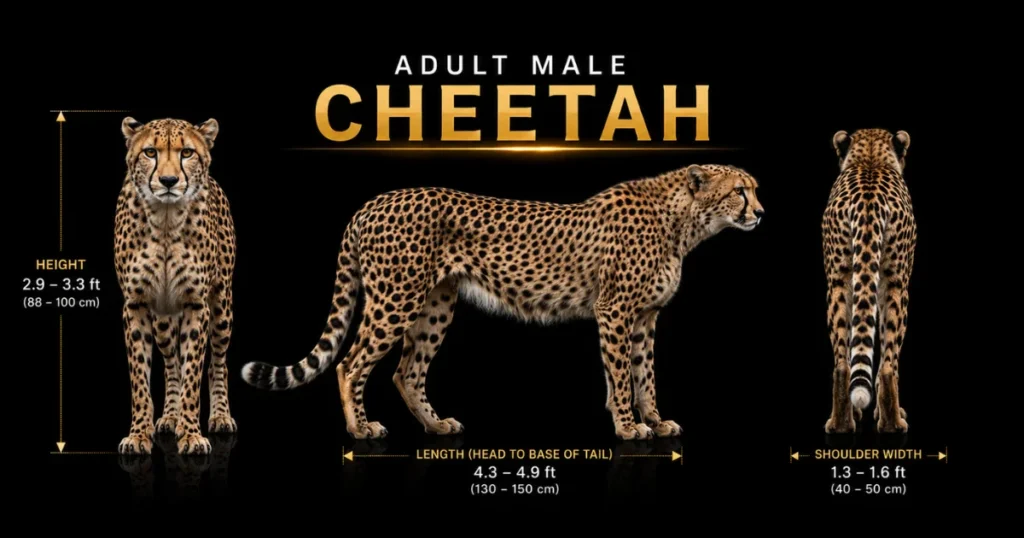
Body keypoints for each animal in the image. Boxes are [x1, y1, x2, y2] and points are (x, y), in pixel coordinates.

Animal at [114, 117, 238, 454]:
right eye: (150, 152)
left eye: (186, 152)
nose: (169, 181)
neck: (166, 220)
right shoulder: (136, 304)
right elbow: (141, 377)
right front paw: (139, 434)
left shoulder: (197, 304)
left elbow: (194, 371)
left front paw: (192, 433)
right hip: (163, 320)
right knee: (171, 364)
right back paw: (171, 417)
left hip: (222, 308)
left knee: (217, 362)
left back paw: (219, 416)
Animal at [243, 164, 764, 440]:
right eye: (740, 190)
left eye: (754, 189)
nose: (760, 212)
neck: (684, 222)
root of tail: (372, 202)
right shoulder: (615, 311)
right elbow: (619, 375)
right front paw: (628, 426)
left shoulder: (645, 317)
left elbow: (644, 375)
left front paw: (654, 421)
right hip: (396, 298)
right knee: (350, 364)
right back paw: (360, 430)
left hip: (436, 306)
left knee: (406, 371)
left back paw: (436, 426)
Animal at [822, 128, 916, 434]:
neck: (871, 159)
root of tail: (868, 201)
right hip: (898, 287)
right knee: (888, 364)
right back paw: (893, 423)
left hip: (838, 281)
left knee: (842, 362)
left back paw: (840, 424)